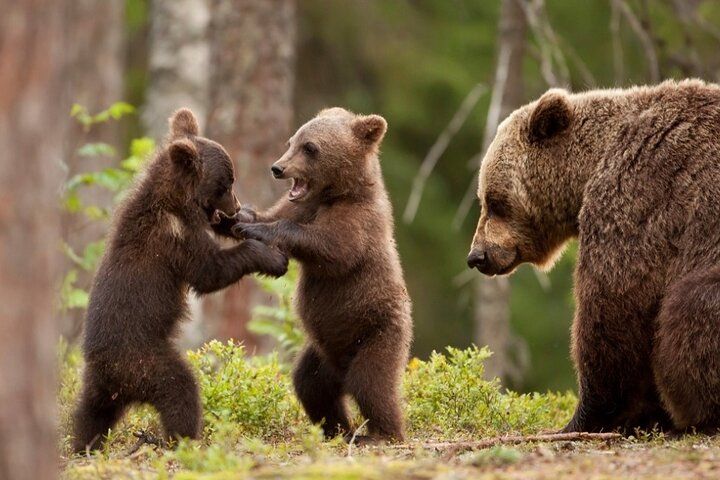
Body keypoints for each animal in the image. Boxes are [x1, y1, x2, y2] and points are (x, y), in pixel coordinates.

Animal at [72, 108, 288, 453]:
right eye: (226, 183)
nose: (235, 205)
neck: (175, 202)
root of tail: (113, 376)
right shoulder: (174, 239)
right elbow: (209, 271)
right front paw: (271, 257)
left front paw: (246, 221)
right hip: (145, 361)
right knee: (180, 389)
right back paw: (183, 439)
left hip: (99, 386)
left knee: (89, 414)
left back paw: (82, 444)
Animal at [231, 107, 413, 442]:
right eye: (292, 141)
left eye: (310, 147)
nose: (277, 168)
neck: (336, 193)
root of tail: (341, 369)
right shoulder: (302, 205)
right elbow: (276, 214)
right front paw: (241, 216)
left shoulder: (359, 221)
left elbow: (333, 249)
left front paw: (259, 229)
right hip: (321, 353)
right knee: (311, 385)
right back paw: (337, 429)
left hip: (377, 333)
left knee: (372, 384)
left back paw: (382, 433)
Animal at [466, 79, 720, 434]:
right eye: (484, 198)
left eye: (494, 201)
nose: (477, 256)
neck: (590, 167)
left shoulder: (640, 196)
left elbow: (612, 306)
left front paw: (585, 417)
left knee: (690, 307)